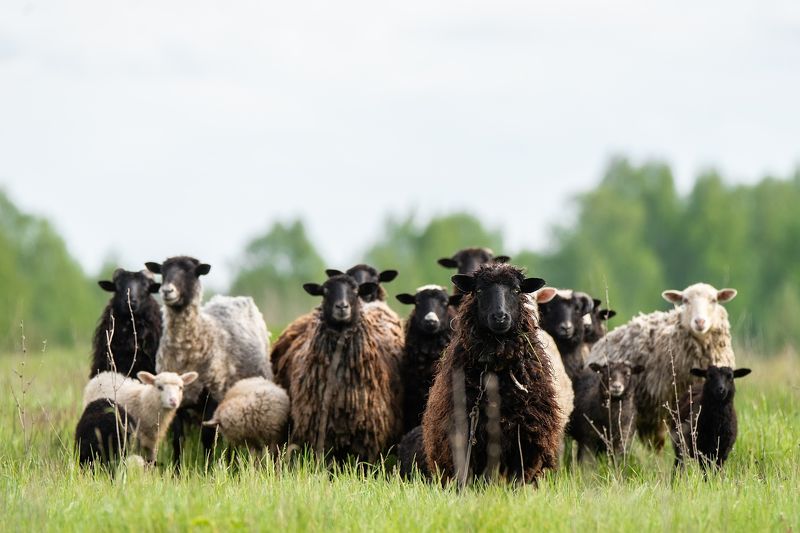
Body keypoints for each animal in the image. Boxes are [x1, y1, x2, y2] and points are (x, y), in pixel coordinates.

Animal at [145, 256, 272, 463]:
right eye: (162, 272)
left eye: (191, 272)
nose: (166, 291)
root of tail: (233, 299)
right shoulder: (177, 399)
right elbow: (178, 439)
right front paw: (177, 468)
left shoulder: (213, 395)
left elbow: (207, 439)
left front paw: (207, 466)